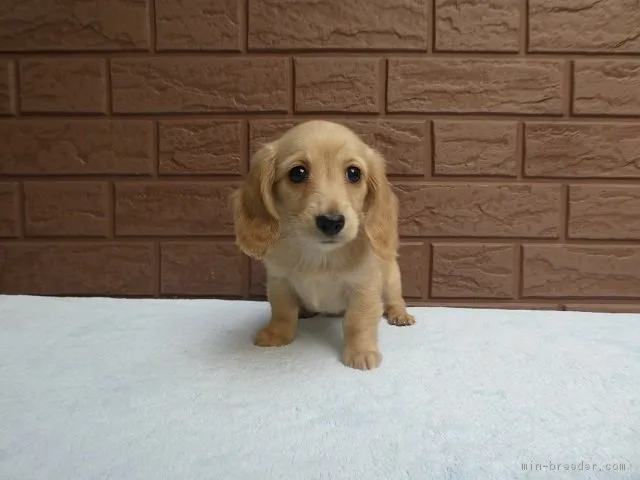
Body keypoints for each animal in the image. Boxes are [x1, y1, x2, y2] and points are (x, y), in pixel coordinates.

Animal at [230, 120, 416, 372]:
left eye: (354, 173)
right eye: (297, 173)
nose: (331, 222)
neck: (319, 255)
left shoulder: (364, 287)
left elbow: (358, 321)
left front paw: (361, 352)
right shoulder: (279, 282)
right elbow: (282, 311)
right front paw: (278, 334)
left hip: (391, 278)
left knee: (395, 298)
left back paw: (399, 314)